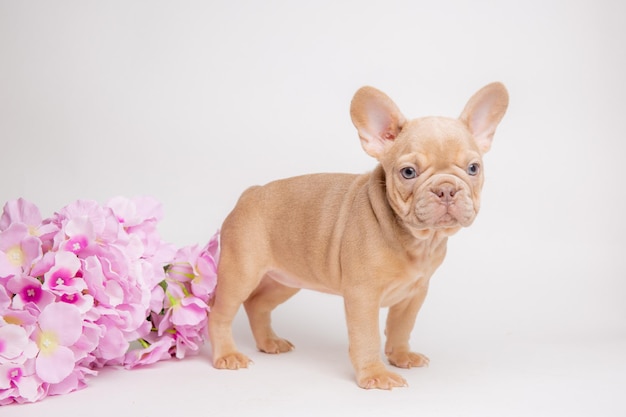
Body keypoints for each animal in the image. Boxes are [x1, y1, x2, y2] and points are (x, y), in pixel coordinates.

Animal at [210, 83, 508, 388]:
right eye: (408, 172)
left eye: (473, 168)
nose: (446, 189)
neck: (418, 240)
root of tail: (250, 194)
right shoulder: (363, 296)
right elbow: (367, 337)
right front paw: (375, 374)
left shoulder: (414, 294)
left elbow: (401, 327)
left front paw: (401, 356)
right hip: (241, 272)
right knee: (219, 311)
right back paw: (227, 354)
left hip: (286, 279)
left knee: (257, 304)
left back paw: (269, 342)